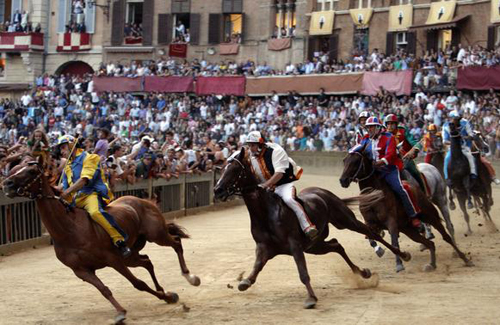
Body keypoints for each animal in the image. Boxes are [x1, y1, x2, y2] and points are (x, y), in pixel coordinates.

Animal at [2, 160, 201, 324]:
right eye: (14, 168)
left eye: (30, 171)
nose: (7, 183)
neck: (70, 231)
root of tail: (141, 200)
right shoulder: (81, 270)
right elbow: (104, 290)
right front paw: (122, 311)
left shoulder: (112, 259)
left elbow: (138, 283)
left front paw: (161, 297)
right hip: (131, 254)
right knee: (147, 261)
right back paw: (163, 291)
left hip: (156, 235)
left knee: (176, 243)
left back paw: (190, 277)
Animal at [211, 148, 410, 308]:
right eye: (223, 167)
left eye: (235, 169)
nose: (217, 190)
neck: (266, 213)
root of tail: (323, 192)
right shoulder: (264, 247)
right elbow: (257, 267)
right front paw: (244, 281)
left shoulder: (295, 245)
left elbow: (303, 273)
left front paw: (311, 298)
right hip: (314, 245)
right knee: (336, 245)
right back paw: (363, 272)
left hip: (346, 221)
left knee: (372, 234)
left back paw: (402, 256)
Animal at [338, 148, 474, 272]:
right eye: (344, 160)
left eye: (356, 161)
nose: (343, 180)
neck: (373, 195)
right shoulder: (371, 223)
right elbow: (372, 238)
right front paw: (380, 250)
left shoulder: (391, 222)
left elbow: (394, 242)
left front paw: (399, 264)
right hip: (408, 229)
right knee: (430, 243)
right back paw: (431, 264)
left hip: (433, 212)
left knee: (446, 235)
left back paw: (464, 258)